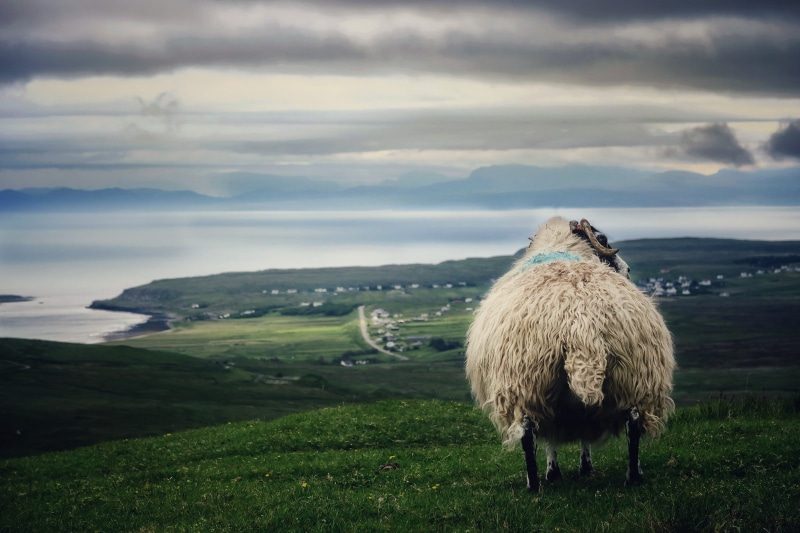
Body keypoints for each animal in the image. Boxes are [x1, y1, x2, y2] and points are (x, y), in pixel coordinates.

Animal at [465, 216, 675, 492]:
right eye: (603, 239)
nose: (627, 270)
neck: (561, 246)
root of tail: (580, 321)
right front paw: (581, 468)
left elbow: (551, 437)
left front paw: (556, 471)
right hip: (635, 375)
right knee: (633, 423)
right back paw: (633, 476)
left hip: (524, 381)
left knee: (528, 432)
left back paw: (534, 484)